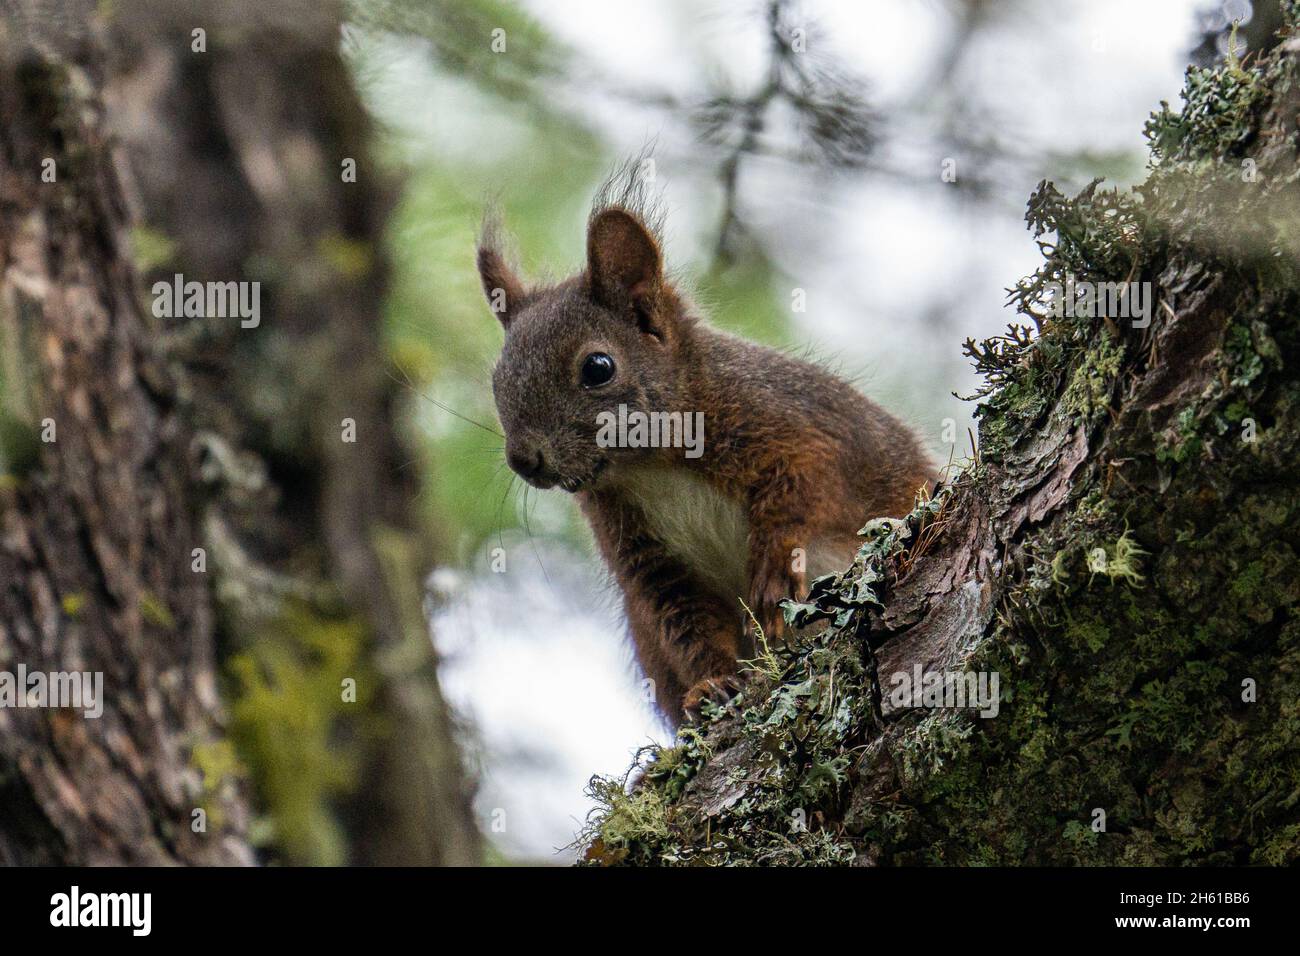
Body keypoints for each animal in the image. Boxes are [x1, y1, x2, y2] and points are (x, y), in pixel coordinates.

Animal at [478, 179, 935, 728]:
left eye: (598, 367)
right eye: (497, 380)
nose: (524, 460)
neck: (648, 467)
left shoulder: (796, 427)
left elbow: (806, 488)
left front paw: (775, 572)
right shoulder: (646, 555)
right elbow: (685, 623)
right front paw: (712, 685)